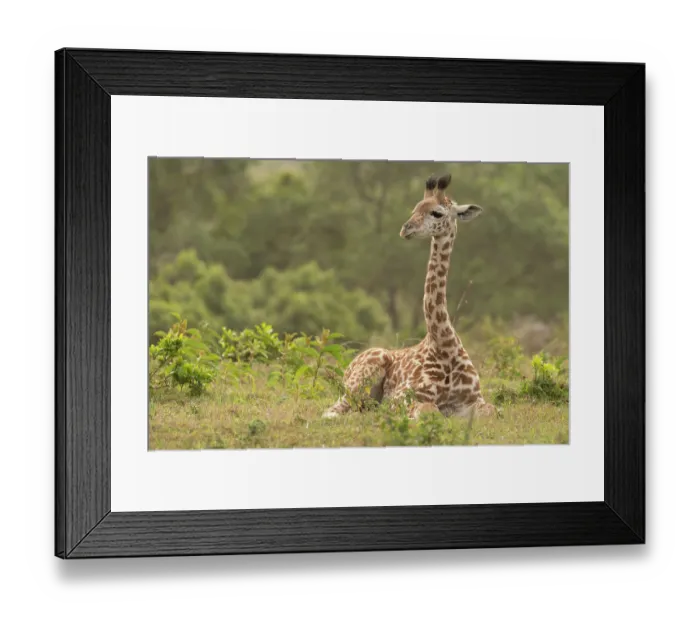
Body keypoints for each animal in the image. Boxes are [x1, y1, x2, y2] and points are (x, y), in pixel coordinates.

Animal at [322, 173, 497, 421]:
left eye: (437, 212)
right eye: (415, 208)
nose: (406, 228)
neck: (444, 344)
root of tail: (348, 367)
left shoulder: (474, 400)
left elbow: (492, 411)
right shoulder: (404, 397)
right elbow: (429, 412)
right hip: (357, 385)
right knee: (332, 411)